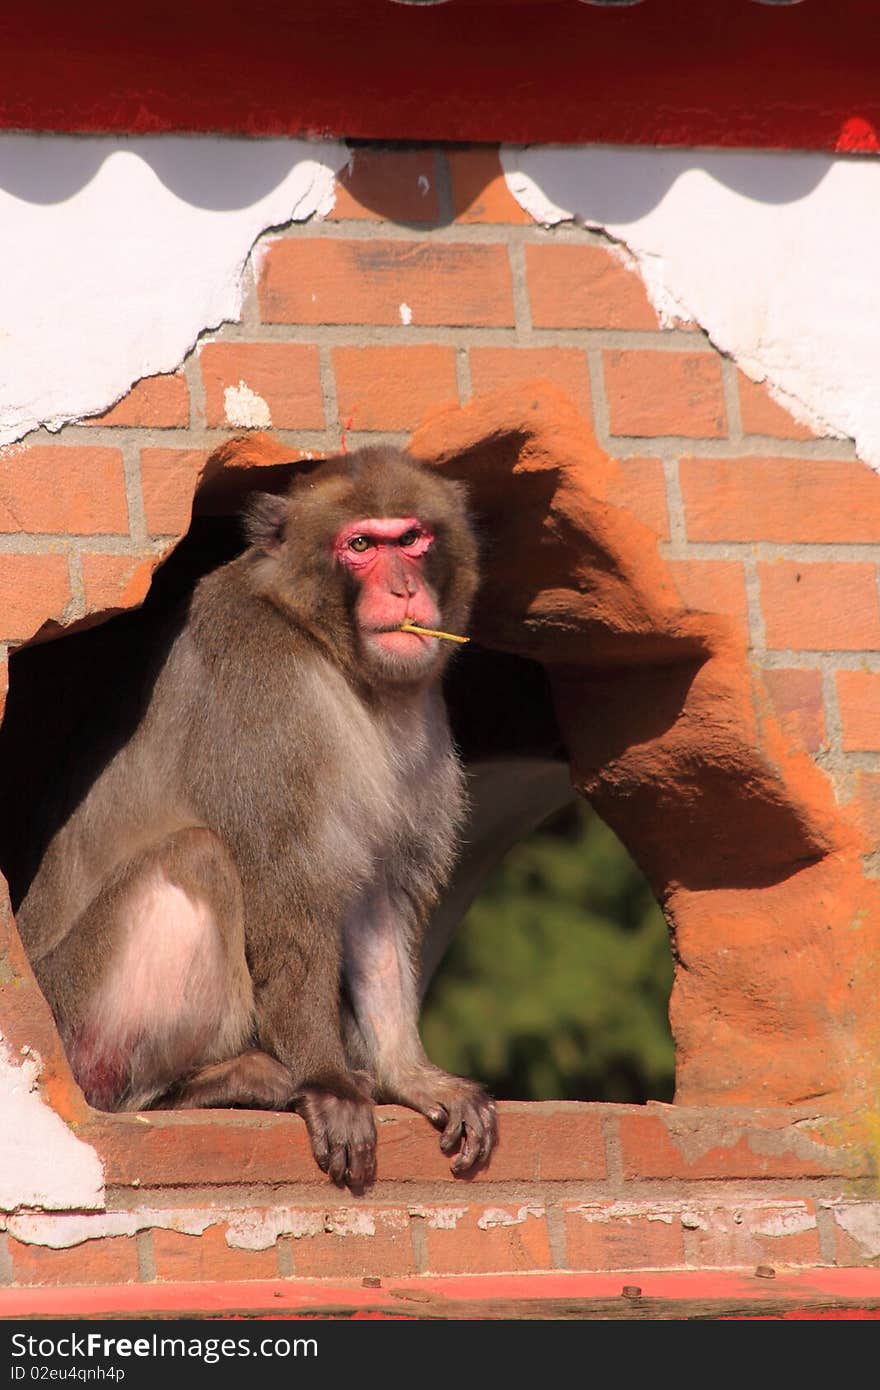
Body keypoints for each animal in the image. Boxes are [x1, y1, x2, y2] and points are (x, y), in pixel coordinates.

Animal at [15, 450, 494, 1189]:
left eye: (412, 537)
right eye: (361, 545)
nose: (405, 589)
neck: (322, 644)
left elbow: (377, 895)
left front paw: (410, 1075)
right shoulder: (265, 698)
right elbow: (281, 886)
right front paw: (329, 1080)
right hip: (76, 1008)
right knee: (198, 856)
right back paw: (191, 1088)